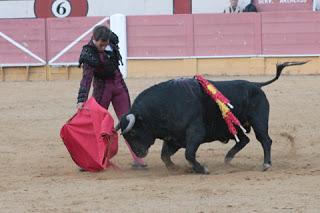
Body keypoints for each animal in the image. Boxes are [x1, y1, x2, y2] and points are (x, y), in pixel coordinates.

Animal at [116, 60, 306, 174]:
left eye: (133, 133)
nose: (139, 153)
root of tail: (256, 85)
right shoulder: (174, 139)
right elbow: (165, 156)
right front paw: (175, 168)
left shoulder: (195, 133)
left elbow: (189, 154)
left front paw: (202, 169)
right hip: (234, 128)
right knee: (244, 140)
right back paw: (227, 159)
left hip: (259, 121)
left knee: (265, 140)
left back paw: (266, 164)